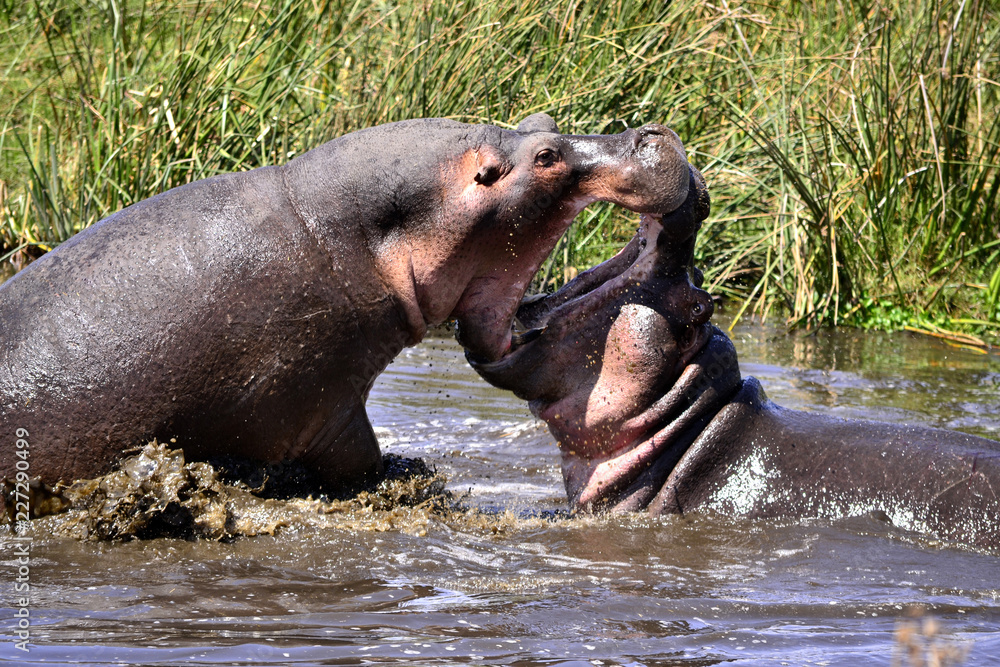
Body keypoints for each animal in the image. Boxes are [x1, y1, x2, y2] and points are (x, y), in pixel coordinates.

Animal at [1, 114, 703, 499]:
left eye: (542, 124)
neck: (343, 236)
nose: (648, 136)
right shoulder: (321, 407)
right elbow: (362, 460)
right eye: (548, 156)